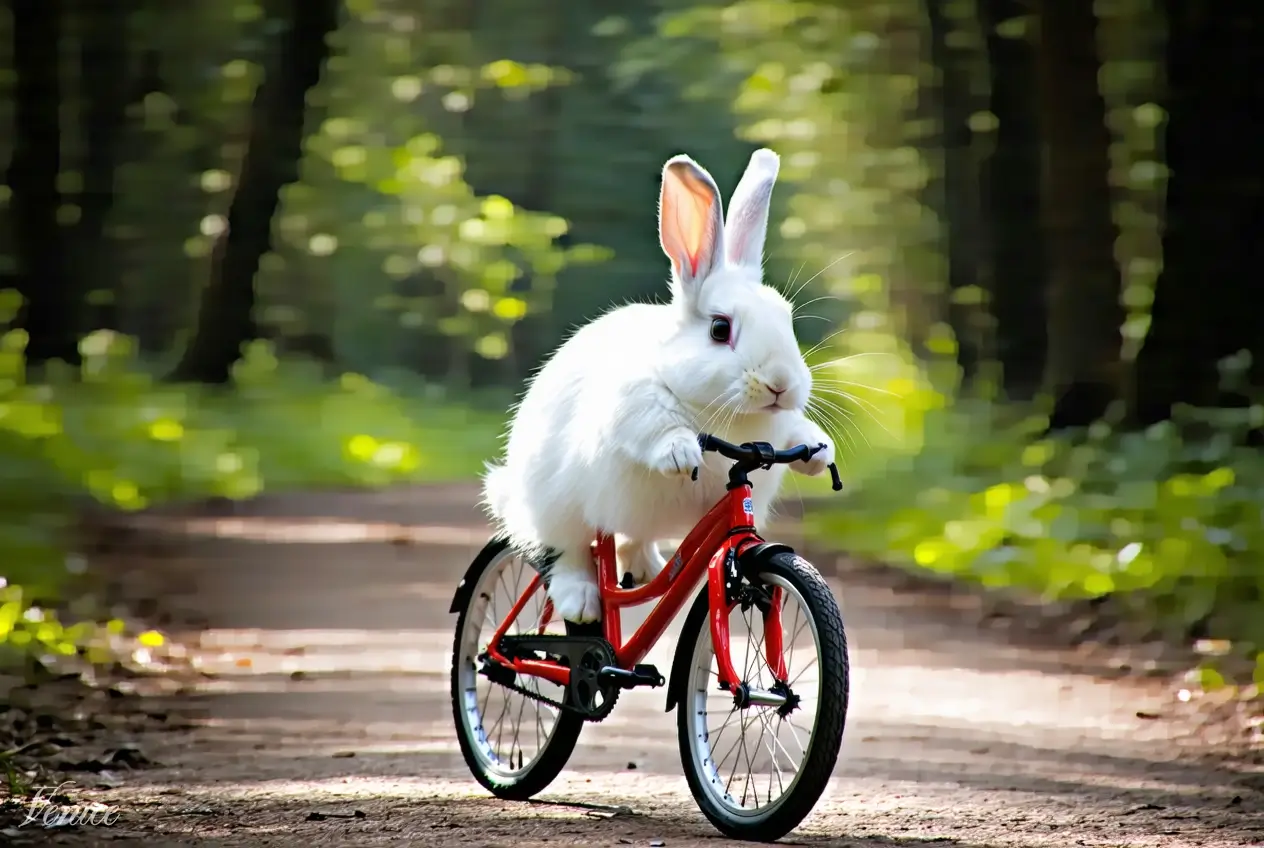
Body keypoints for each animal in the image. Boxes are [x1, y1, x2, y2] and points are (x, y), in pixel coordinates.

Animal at [481, 148, 834, 623]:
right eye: (720, 329)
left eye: (787, 319)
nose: (781, 384)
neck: (730, 419)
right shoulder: (631, 405)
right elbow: (651, 427)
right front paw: (680, 452)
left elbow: (798, 430)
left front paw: (819, 452)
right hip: (553, 501)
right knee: (567, 549)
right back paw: (581, 601)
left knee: (629, 538)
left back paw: (643, 567)